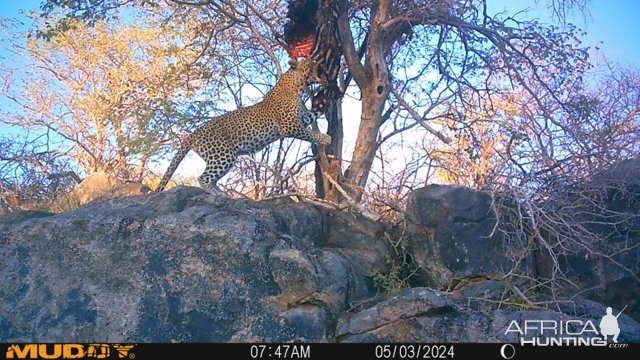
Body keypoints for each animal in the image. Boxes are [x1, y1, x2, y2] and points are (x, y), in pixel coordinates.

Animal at [158, 59, 332, 193]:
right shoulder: (289, 125)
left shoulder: (301, 119)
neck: (296, 85)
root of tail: (194, 133)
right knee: (203, 178)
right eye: (310, 61)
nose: (320, 60)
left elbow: (313, 114)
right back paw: (218, 194)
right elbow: (308, 133)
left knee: (211, 178)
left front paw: (328, 98)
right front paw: (324, 138)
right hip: (223, 154)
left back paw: (221, 192)